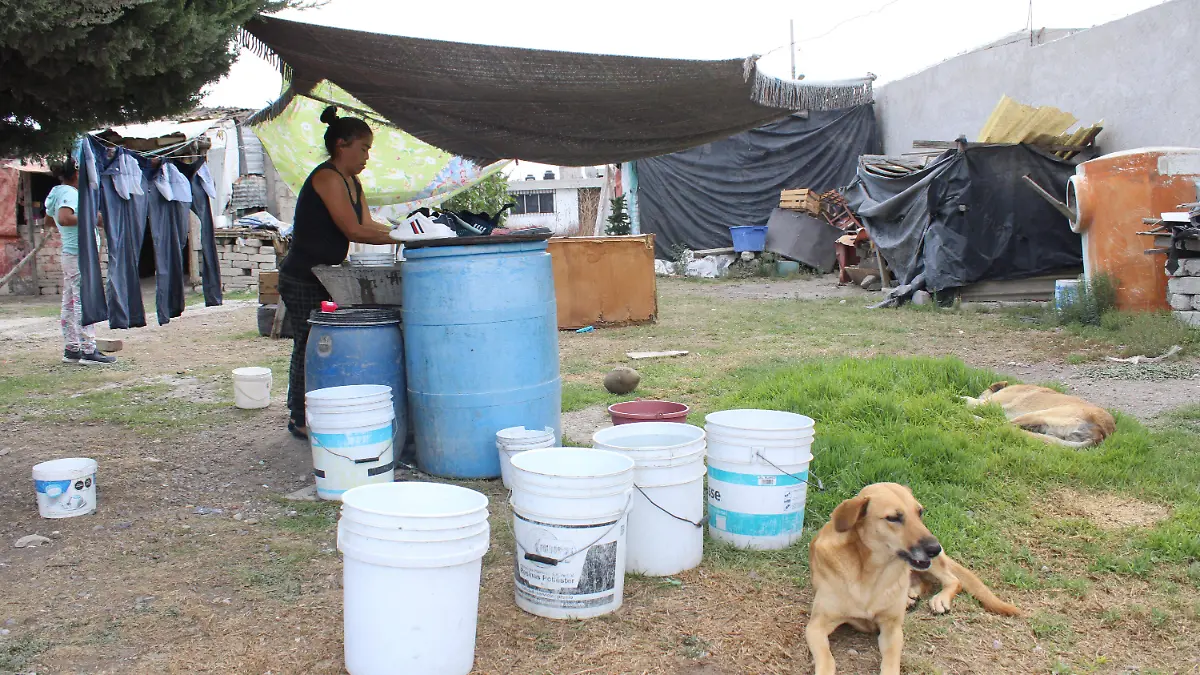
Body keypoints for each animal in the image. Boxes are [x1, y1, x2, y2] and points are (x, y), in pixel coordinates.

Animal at [801, 480, 1017, 667]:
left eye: (919, 512)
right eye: (893, 518)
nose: (935, 548)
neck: (870, 571)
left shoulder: (892, 630)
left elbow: (890, 663)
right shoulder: (816, 626)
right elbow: (827, 661)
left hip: (932, 566)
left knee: (952, 579)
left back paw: (937, 599)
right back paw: (910, 596)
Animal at [955, 381, 1113, 449]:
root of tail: (1102, 433)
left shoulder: (987, 403)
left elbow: (970, 400)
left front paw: (957, 397)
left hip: (1038, 414)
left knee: (1000, 425)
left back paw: (972, 418)